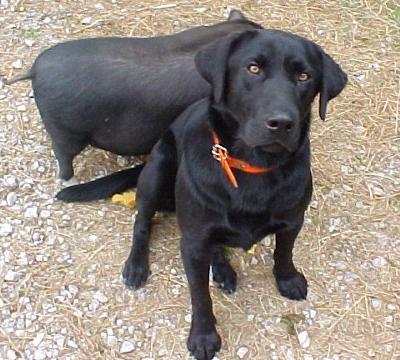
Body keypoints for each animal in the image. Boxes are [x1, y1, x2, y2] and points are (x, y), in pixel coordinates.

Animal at [58, 28, 346, 360]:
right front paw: (204, 336)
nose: (281, 123)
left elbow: (284, 253)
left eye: (303, 76)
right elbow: (200, 296)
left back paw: (222, 269)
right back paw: (137, 265)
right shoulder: (193, 244)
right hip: (157, 171)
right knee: (142, 224)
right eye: (253, 68)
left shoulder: (292, 220)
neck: (254, 167)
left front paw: (287, 279)